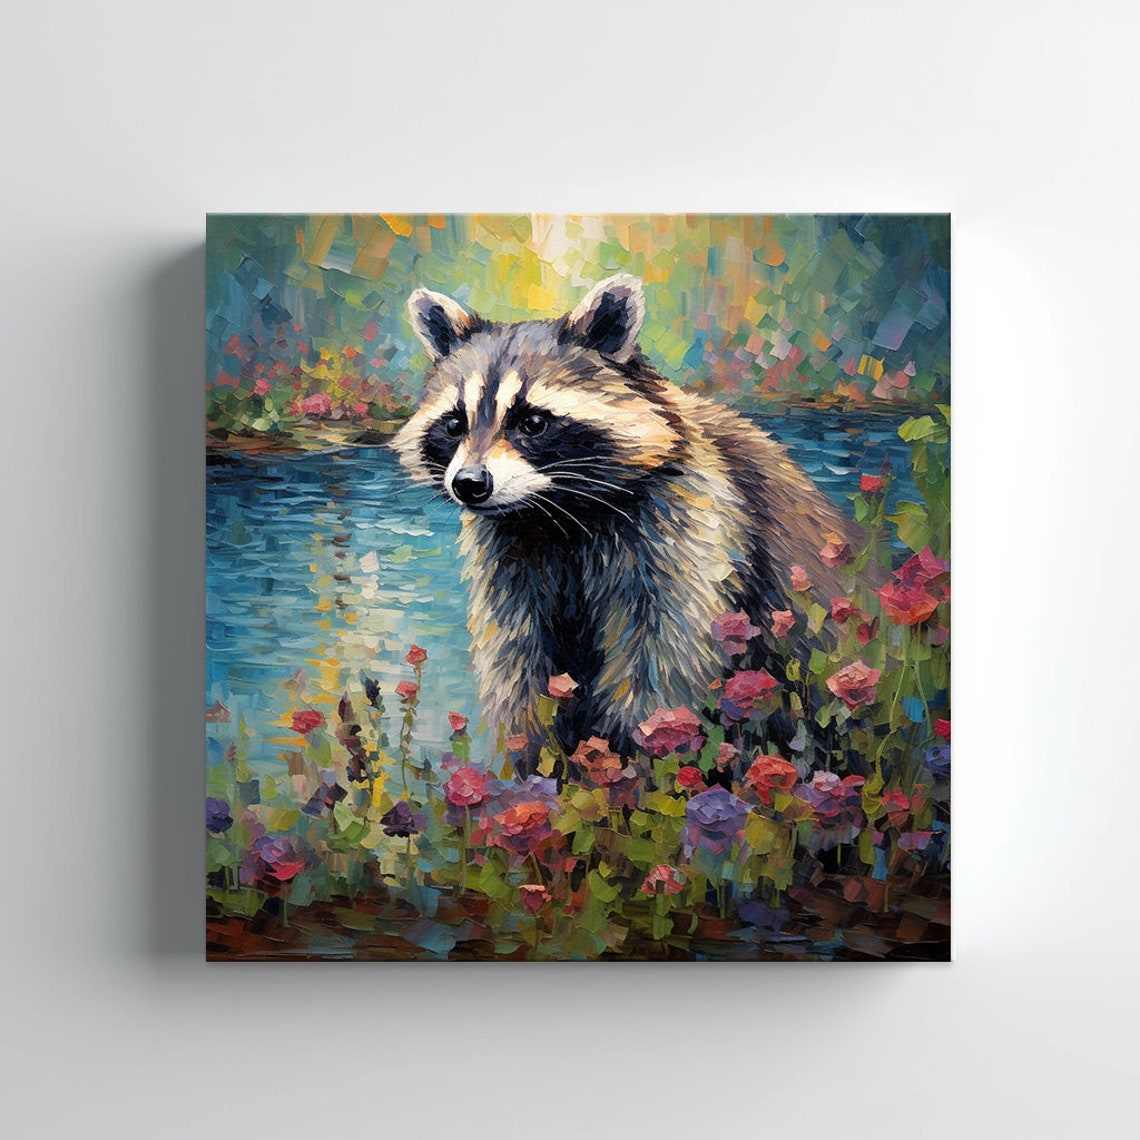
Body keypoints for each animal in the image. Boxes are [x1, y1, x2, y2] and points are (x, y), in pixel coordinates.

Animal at [393, 275, 865, 772]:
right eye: (453, 424)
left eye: (534, 422)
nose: (469, 484)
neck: (554, 511)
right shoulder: (511, 562)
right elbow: (520, 662)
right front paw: (532, 758)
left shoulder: (689, 526)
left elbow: (660, 658)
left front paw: (639, 763)